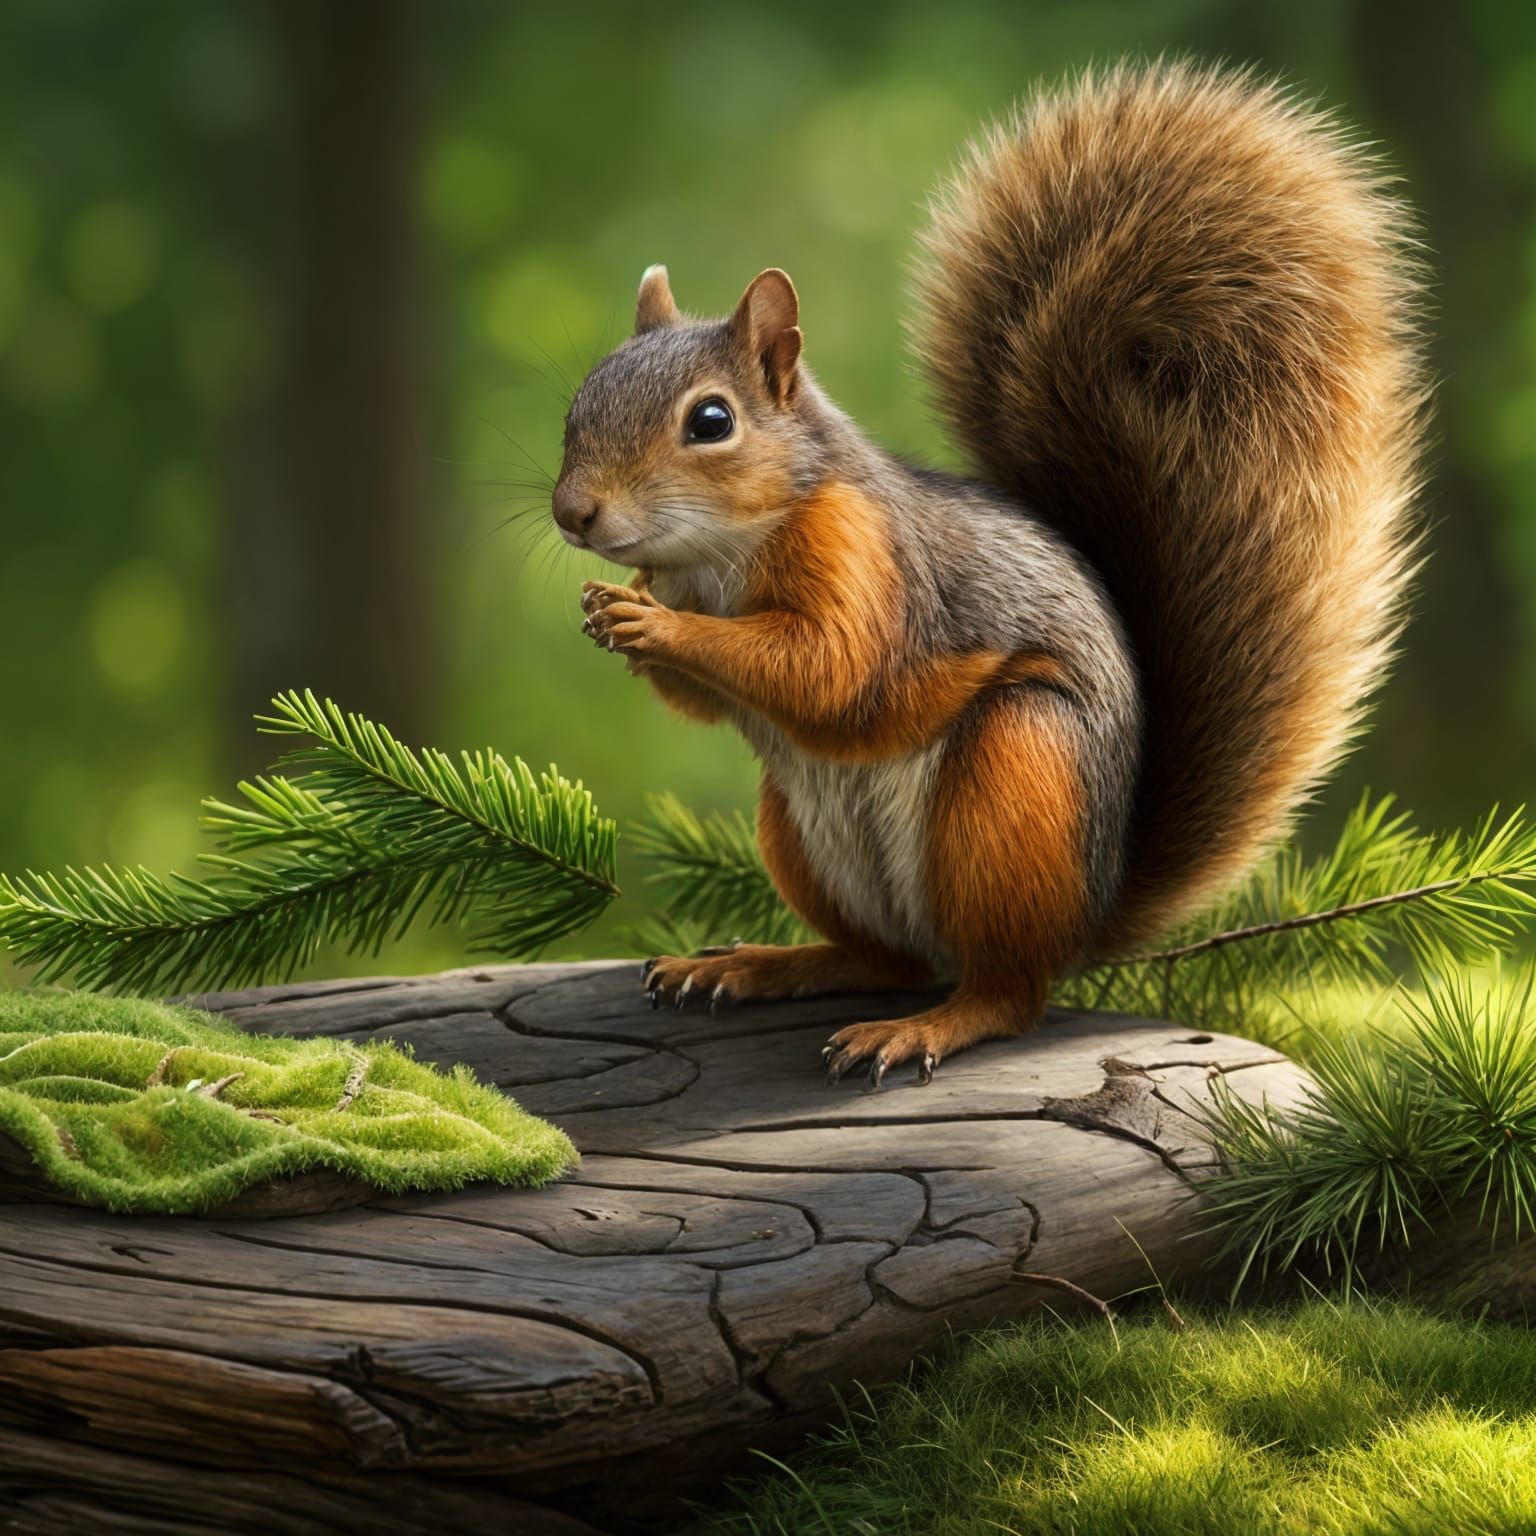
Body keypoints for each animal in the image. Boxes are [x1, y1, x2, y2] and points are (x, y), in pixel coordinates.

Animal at [551, 62, 1425, 1086]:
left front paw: (657, 626)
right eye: (580, 401)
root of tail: (1091, 908)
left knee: (1006, 992)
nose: (573, 513)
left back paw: (928, 1025)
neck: (718, 558)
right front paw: (612, 612)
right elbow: (711, 700)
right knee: (884, 960)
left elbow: (833, 670)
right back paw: (762, 965)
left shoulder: (870, 560)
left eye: (712, 421)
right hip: (801, 833)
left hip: (1015, 779)